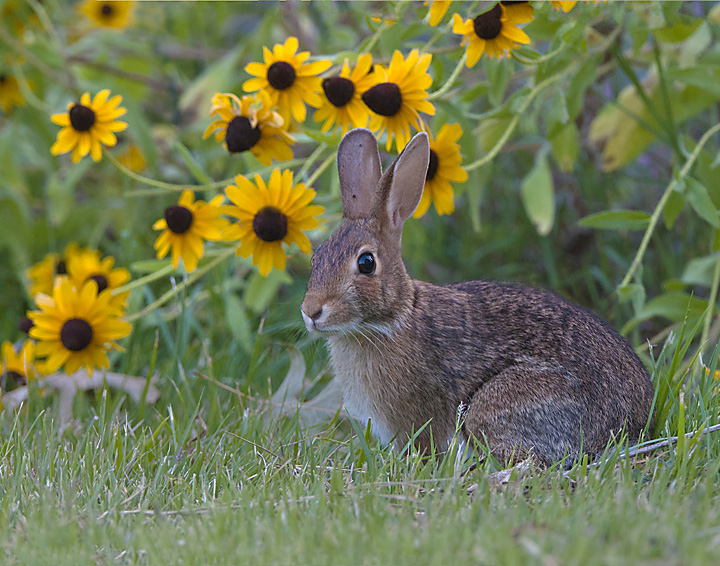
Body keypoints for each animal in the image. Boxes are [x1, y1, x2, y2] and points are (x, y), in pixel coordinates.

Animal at [301, 128, 654, 464]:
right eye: (316, 257)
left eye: (366, 263)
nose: (311, 311)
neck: (392, 320)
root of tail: (637, 419)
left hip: (495, 406)